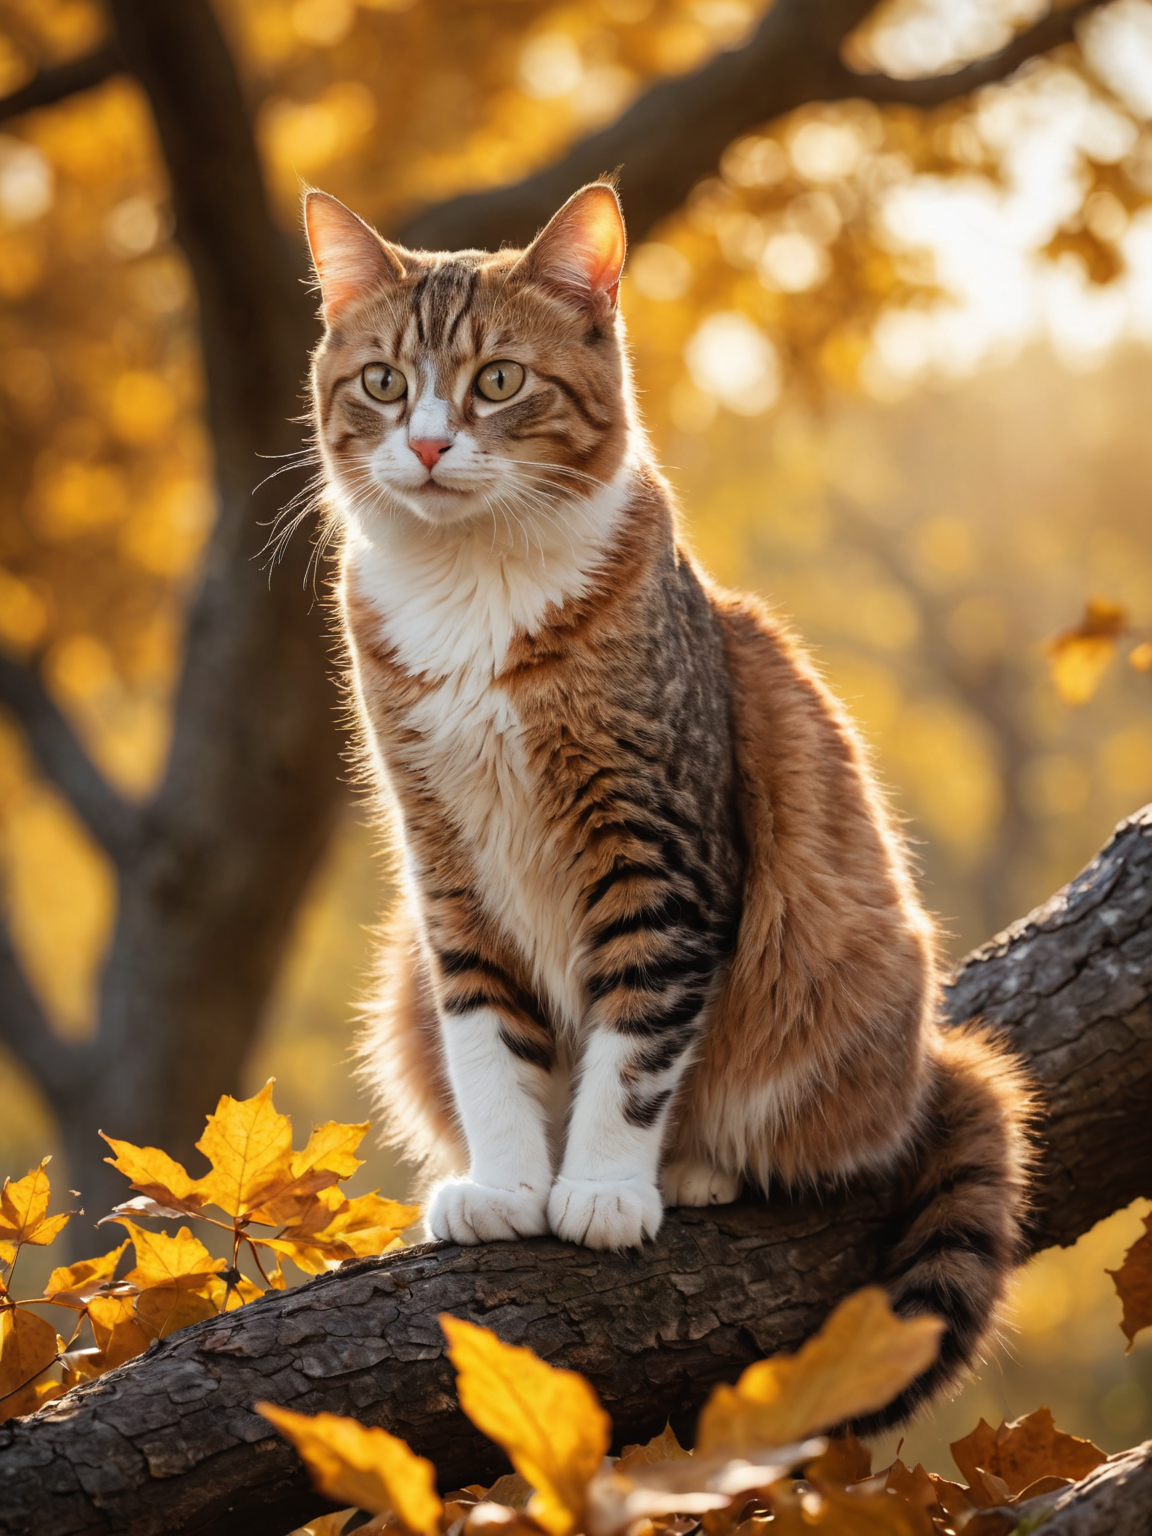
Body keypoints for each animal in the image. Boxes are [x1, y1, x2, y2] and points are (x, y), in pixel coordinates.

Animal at [302, 176, 1032, 1413]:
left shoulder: (658, 845)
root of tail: (932, 1059)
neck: (474, 587)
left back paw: (694, 1169)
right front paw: (510, 1183)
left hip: (846, 967)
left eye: (499, 381)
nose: (432, 444)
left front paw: (601, 1186)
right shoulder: (444, 863)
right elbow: (485, 1038)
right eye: (385, 383)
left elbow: (636, 1038)